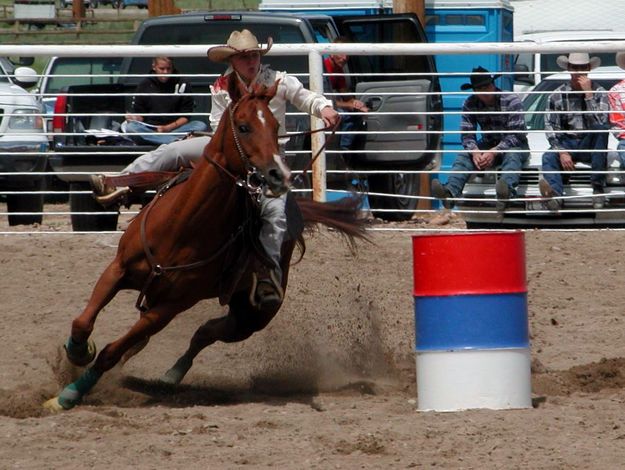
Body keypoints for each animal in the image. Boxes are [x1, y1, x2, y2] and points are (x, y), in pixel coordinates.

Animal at [44, 77, 368, 412]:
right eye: (243, 126)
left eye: (276, 125)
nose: (279, 174)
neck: (181, 225)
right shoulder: (118, 269)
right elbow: (83, 322)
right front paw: (78, 353)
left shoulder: (171, 306)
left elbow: (111, 351)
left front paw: (68, 395)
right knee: (184, 335)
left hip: (251, 316)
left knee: (205, 333)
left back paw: (170, 377)